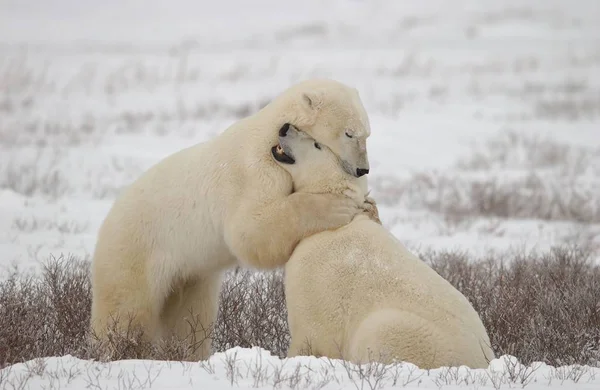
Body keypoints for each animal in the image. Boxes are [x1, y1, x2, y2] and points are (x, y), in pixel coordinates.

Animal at [90, 78, 370, 360]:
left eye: (367, 134)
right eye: (349, 133)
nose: (363, 169)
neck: (272, 138)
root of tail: (106, 221)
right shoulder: (254, 172)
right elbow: (250, 229)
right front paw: (338, 207)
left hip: (189, 274)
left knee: (190, 317)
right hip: (135, 250)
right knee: (126, 309)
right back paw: (117, 350)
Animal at [274, 125, 494, 368]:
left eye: (316, 144)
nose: (285, 127)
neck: (331, 224)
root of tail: (484, 360)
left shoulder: (317, 276)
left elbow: (310, 331)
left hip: (409, 334)